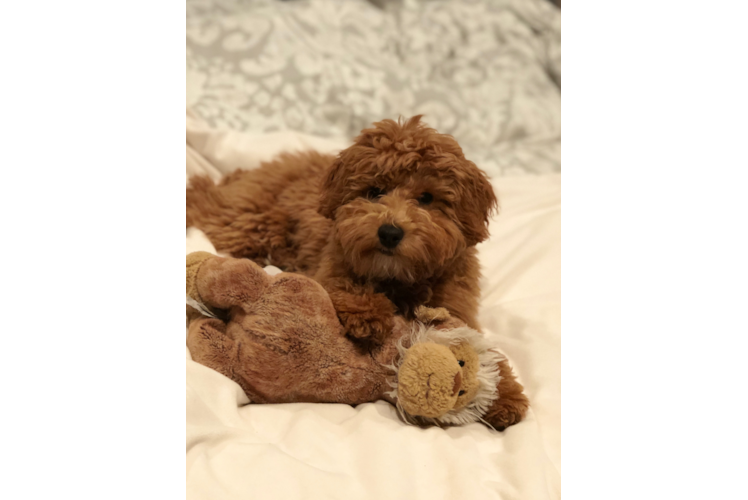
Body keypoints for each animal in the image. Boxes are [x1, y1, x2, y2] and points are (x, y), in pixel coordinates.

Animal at [186, 115, 496, 346]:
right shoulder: (330, 268)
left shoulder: (456, 306)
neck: (396, 277)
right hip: (251, 221)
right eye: (374, 191)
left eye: (427, 198)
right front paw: (367, 314)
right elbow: (343, 287)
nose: (389, 233)